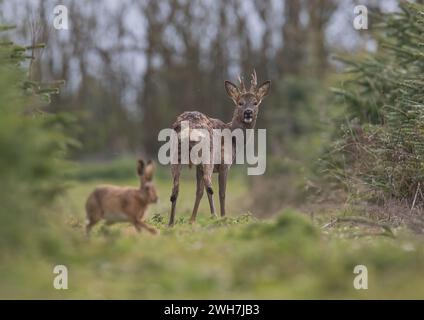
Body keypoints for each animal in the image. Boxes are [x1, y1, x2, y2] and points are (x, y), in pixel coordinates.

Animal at [168, 70, 270, 225]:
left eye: (255, 102)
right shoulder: (224, 163)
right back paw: (215, 216)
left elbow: (198, 191)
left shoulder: (198, 167)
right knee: (209, 185)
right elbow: (222, 193)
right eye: (240, 103)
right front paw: (224, 218)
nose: (248, 112)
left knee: (175, 188)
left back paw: (170, 223)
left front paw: (192, 220)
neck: (232, 137)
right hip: (207, 154)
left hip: (175, 153)